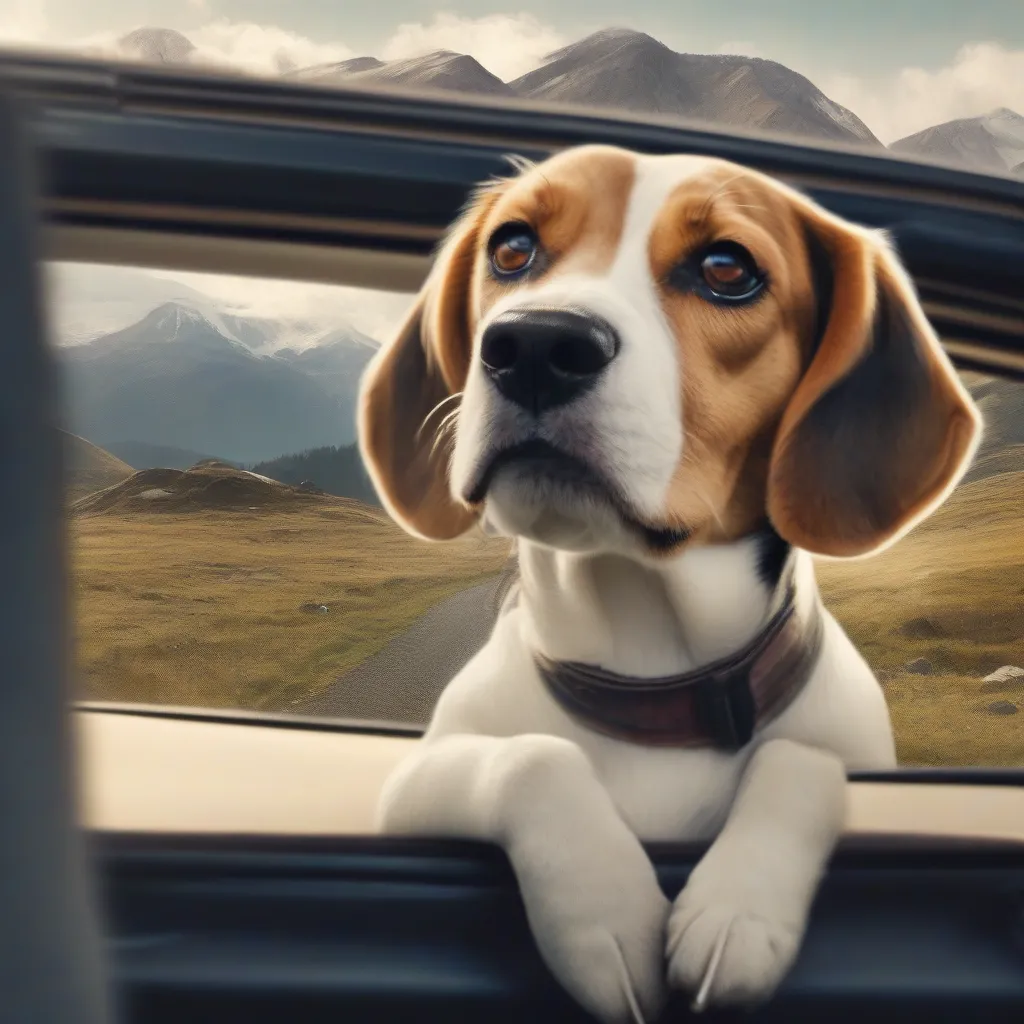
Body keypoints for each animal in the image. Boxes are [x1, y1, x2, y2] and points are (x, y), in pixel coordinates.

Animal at [354, 146, 983, 1024]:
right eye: (512, 248)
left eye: (727, 268)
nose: (535, 344)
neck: (653, 673)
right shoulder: (418, 779)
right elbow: (533, 757)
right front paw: (608, 914)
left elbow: (798, 759)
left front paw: (740, 910)